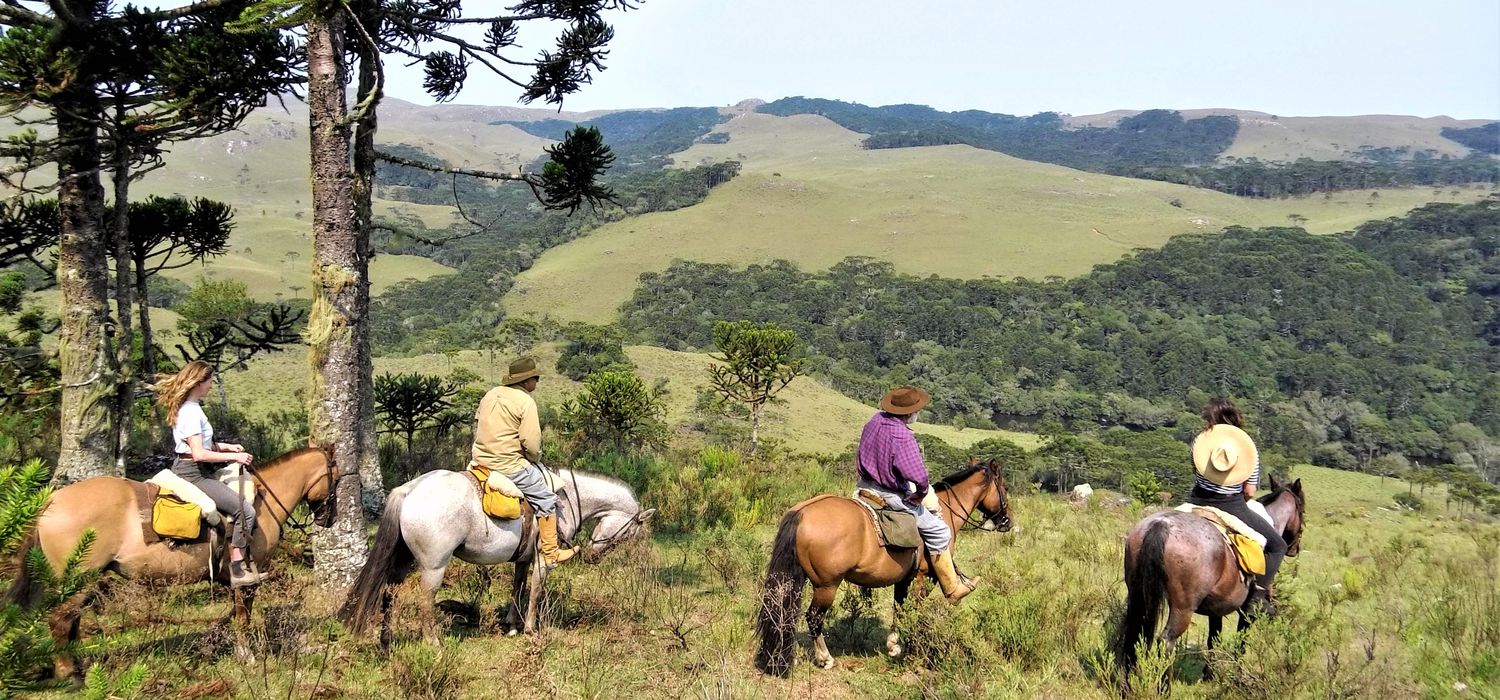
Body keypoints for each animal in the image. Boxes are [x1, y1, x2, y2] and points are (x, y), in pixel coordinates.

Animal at [4, 449, 339, 680]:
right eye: (335, 478)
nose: (329, 518)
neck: (261, 501)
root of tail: (51, 501)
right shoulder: (246, 580)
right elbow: (243, 618)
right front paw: (247, 656)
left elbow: (233, 617)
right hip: (79, 577)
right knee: (60, 620)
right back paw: (68, 673)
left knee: (71, 619)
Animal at [343, 464, 654, 647]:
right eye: (628, 534)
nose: (592, 557)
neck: (563, 500)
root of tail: (409, 490)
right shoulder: (542, 560)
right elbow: (535, 591)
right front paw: (530, 630)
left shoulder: (523, 559)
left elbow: (518, 588)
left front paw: (513, 625)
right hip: (434, 566)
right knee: (424, 600)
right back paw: (433, 642)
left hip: (403, 560)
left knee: (389, 592)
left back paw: (386, 641)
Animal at [756, 458, 1014, 677]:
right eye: (1005, 487)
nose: (1007, 521)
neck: (946, 512)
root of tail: (802, 512)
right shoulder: (924, 578)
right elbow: (913, 612)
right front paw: (913, 650)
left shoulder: (904, 579)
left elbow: (898, 609)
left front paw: (893, 645)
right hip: (826, 585)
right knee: (814, 618)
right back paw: (825, 658)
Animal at [1110, 479, 1308, 671]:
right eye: (1302, 510)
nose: (1294, 548)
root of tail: (1161, 524)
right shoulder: (1246, 613)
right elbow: (1241, 641)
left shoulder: (1217, 607)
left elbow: (1214, 638)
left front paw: (1209, 673)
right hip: (1182, 608)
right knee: (1167, 641)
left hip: (1137, 594)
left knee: (1134, 632)